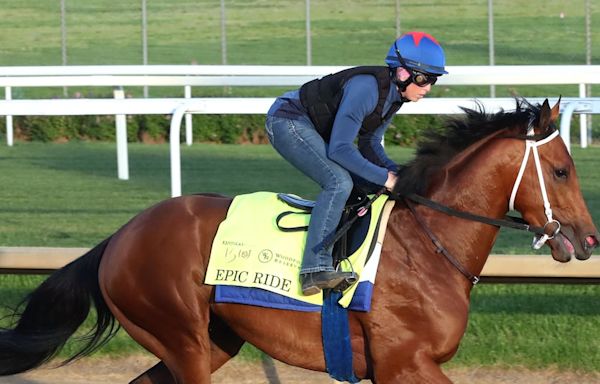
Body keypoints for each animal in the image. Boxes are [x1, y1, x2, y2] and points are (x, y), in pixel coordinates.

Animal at [0, 97, 596, 382]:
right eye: (562, 170)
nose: (589, 238)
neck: (426, 247)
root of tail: (119, 237)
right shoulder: (405, 363)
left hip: (213, 340)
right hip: (181, 338)